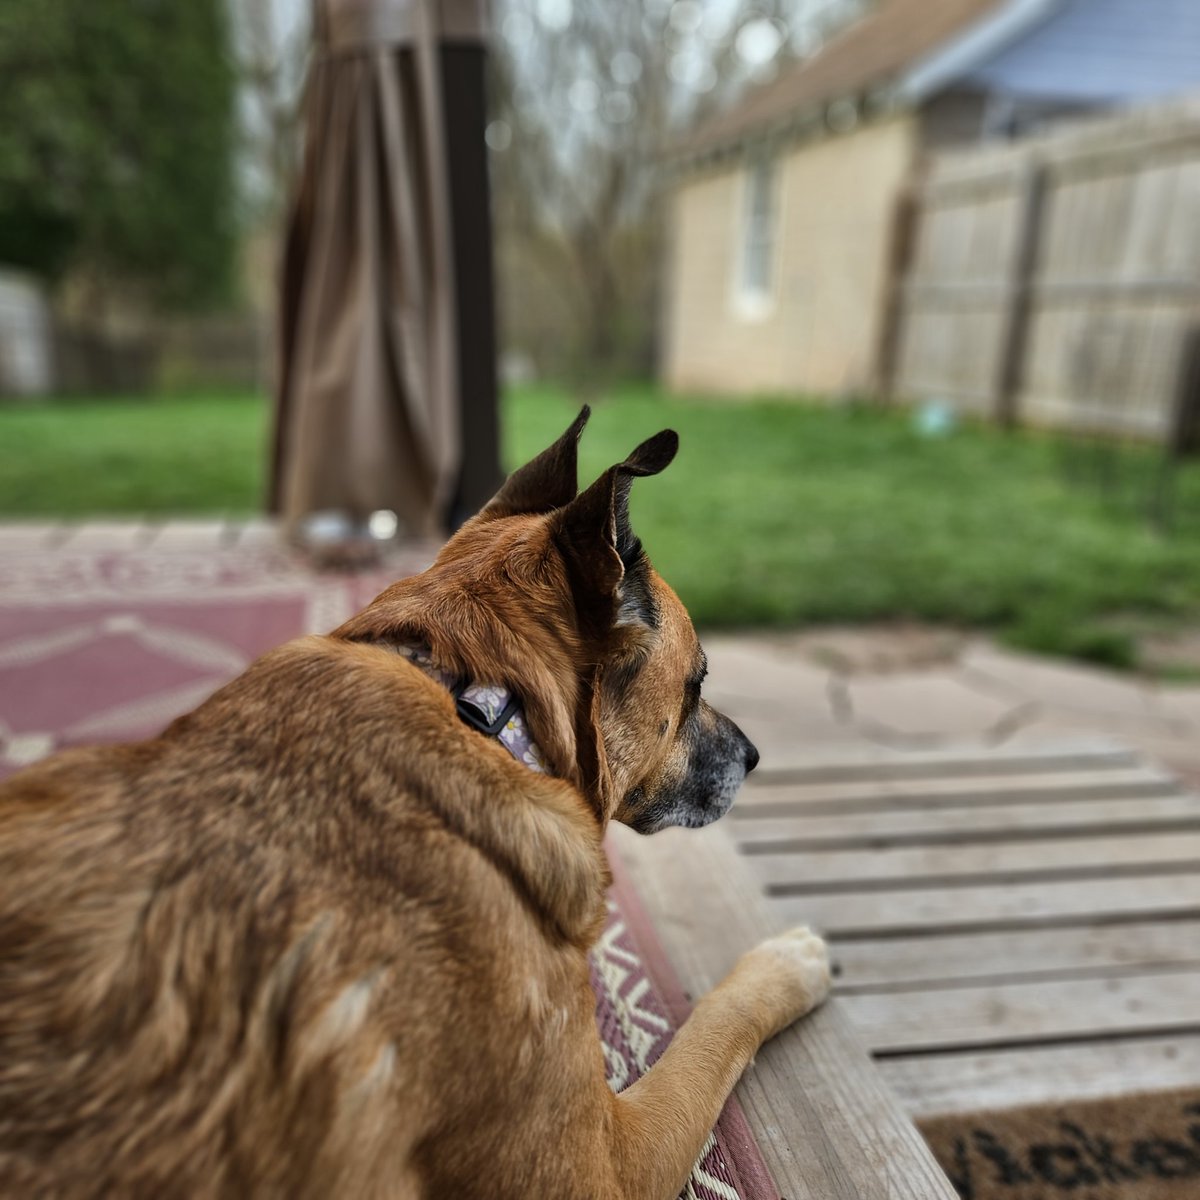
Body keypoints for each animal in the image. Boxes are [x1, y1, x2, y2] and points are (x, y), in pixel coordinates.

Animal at [0, 408, 825, 1195]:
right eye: (697, 684)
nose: (754, 756)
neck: (484, 707)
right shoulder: (604, 1169)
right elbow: (707, 1028)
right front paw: (786, 962)